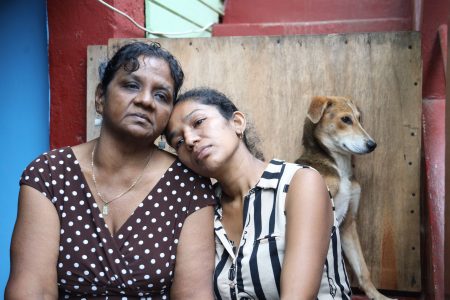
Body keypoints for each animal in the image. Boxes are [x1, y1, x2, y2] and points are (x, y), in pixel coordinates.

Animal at [296, 96, 394, 300]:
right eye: (346, 119)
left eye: (359, 118)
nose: (372, 145)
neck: (339, 167)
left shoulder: (348, 223)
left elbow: (363, 269)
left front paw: (378, 295)